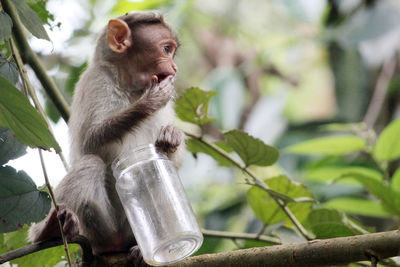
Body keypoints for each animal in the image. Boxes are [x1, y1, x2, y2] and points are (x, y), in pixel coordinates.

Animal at [28, 11, 184, 264]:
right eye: (166, 49)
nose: (175, 67)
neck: (130, 87)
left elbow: (171, 160)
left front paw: (172, 138)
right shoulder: (95, 82)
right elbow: (89, 141)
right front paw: (149, 102)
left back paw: (142, 251)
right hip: (96, 229)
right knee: (90, 163)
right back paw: (49, 230)